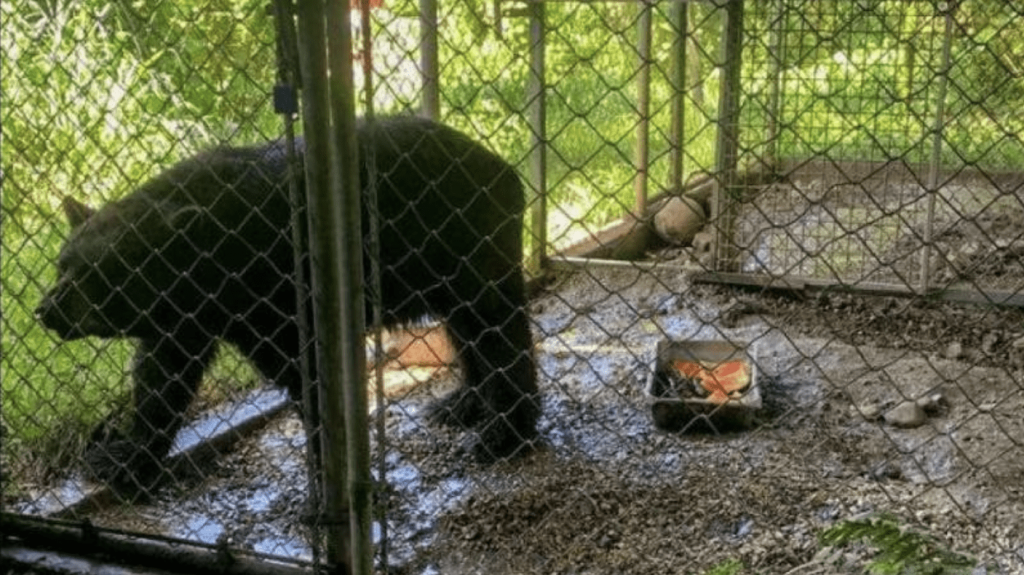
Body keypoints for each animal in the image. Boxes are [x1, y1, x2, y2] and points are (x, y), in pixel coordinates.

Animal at [36, 115, 540, 487]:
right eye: (63, 264)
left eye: (99, 276)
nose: (46, 310)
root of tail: (508, 173)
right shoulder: (188, 316)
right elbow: (162, 377)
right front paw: (123, 456)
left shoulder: (277, 292)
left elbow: (308, 374)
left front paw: (329, 477)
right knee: (466, 332)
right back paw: (462, 402)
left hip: (466, 247)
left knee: (496, 329)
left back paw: (504, 432)